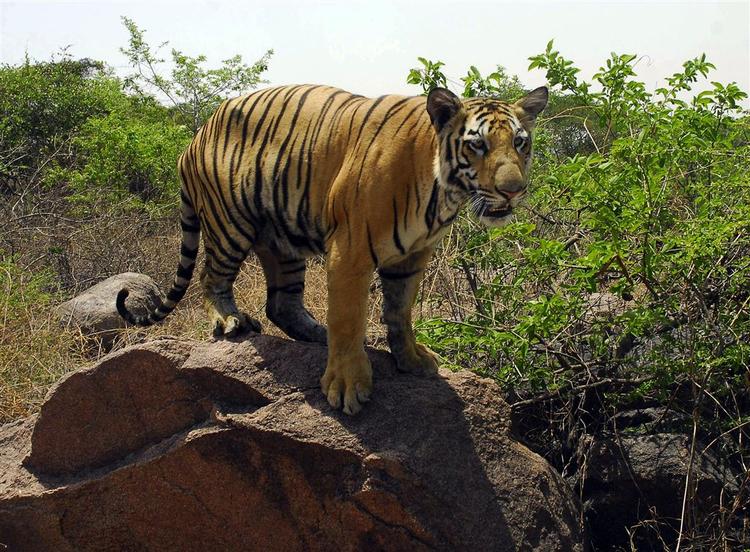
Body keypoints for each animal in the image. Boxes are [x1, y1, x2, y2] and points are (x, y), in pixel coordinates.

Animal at [117, 83, 548, 415]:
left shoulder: (412, 257)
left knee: (282, 304)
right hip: (229, 224)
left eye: (520, 143)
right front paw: (347, 386)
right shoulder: (351, 250)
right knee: (211, 277)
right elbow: (348, 317)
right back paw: (230, 320)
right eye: (478, 145)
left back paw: (314, 333)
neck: (442, 194)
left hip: (283, 240)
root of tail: (194, 138)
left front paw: (410, 359)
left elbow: (400, 310)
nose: (514, 190)